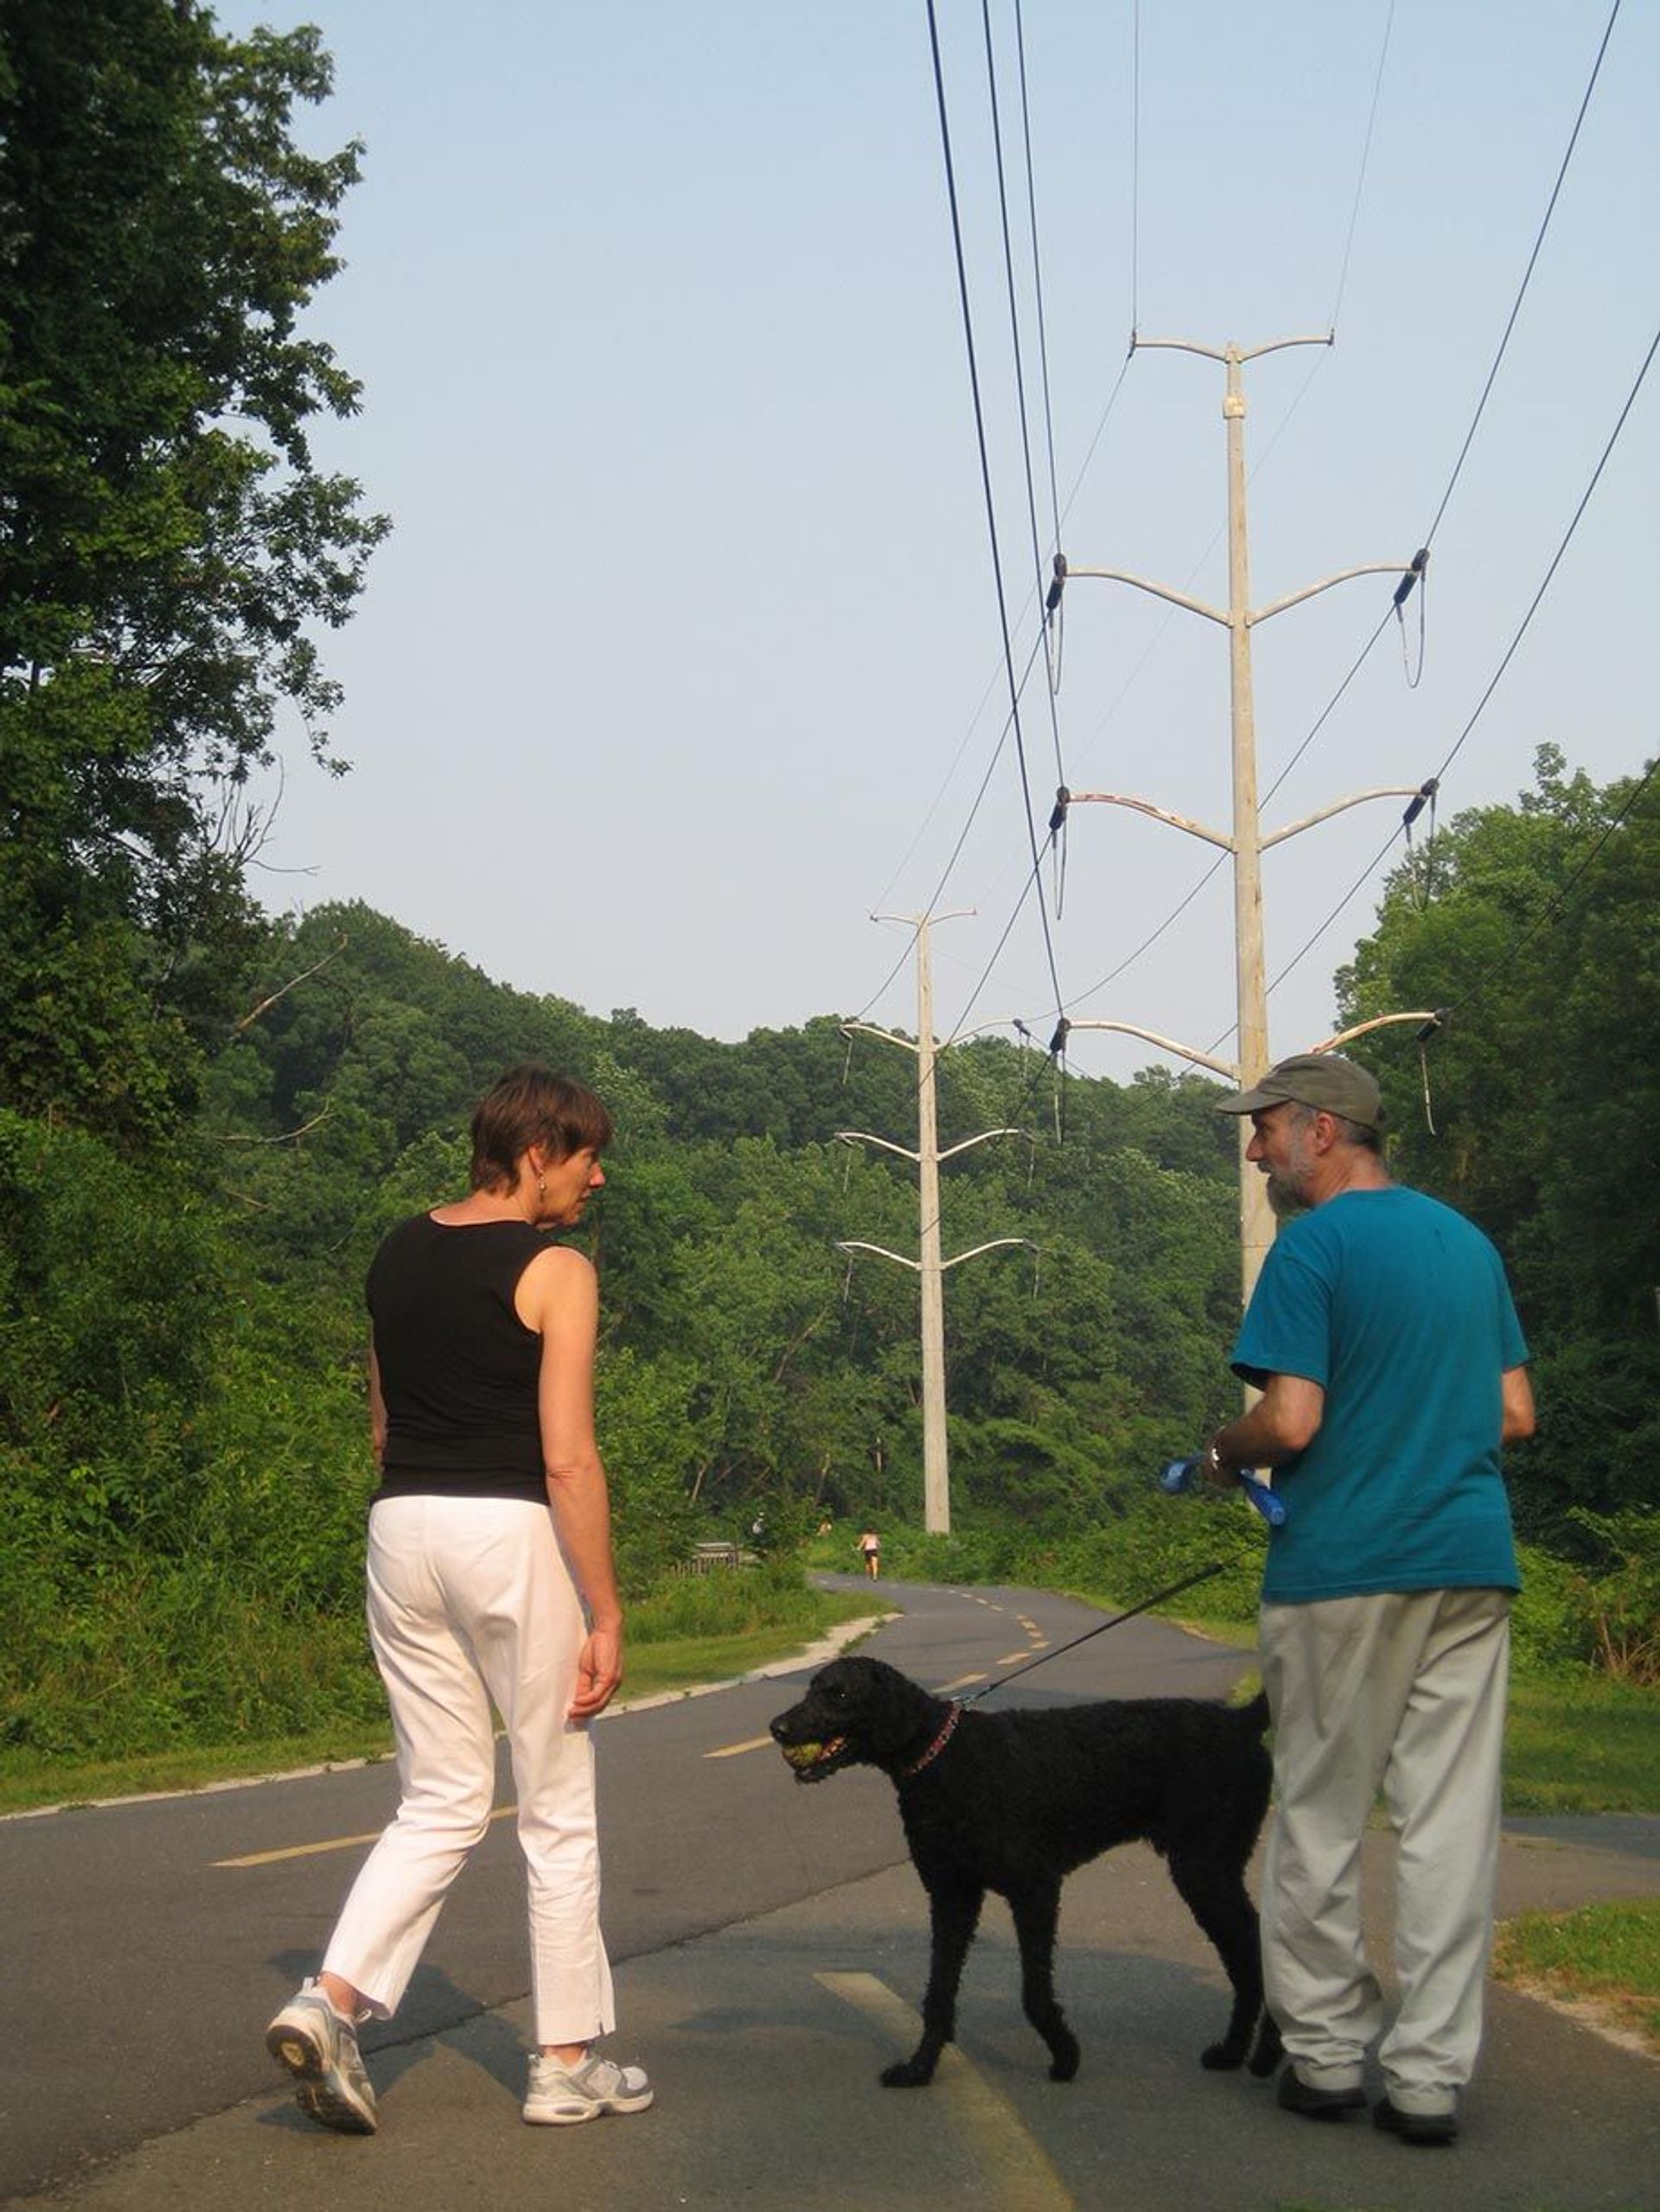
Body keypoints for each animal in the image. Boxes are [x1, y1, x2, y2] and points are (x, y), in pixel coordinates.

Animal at [769, 1663, 1283, 2088]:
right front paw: (920, 2068)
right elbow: (938, 1992)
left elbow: (1033, 1992)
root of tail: (1240, 1721)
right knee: (1246, 1960)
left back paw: (1267, 2053)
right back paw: (1235, 2052)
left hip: (1204, 1872)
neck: (944, 1759)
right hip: (1208, 1874)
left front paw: (1065, 2054)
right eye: (811, 1687)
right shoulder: (952, 1896)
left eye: (838, 1693)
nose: (777, 1728)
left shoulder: (1034, 1889)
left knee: (1259, 1952)